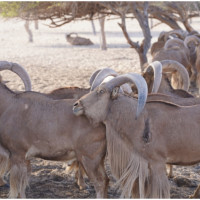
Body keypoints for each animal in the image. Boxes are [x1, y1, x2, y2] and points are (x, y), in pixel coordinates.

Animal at [0, 61, 108, 198]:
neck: (9, 106)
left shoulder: (17, 154)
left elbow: (17, 186)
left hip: (90, 158)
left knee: (100, 182)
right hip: (98, 159)